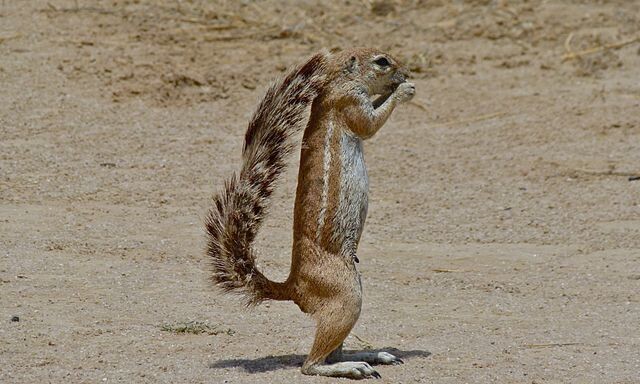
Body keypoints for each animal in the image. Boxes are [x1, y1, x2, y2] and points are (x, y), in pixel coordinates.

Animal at [205, 47, 416, 378]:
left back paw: (371, 354)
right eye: (382, 61)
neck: (339, 80)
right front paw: (404, 90)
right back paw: (353, 367)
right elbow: (370, 123)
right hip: (347, 295)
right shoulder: (350, 102)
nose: (407, 72)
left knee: (329, 352)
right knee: (311, 365)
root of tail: (293, 287)